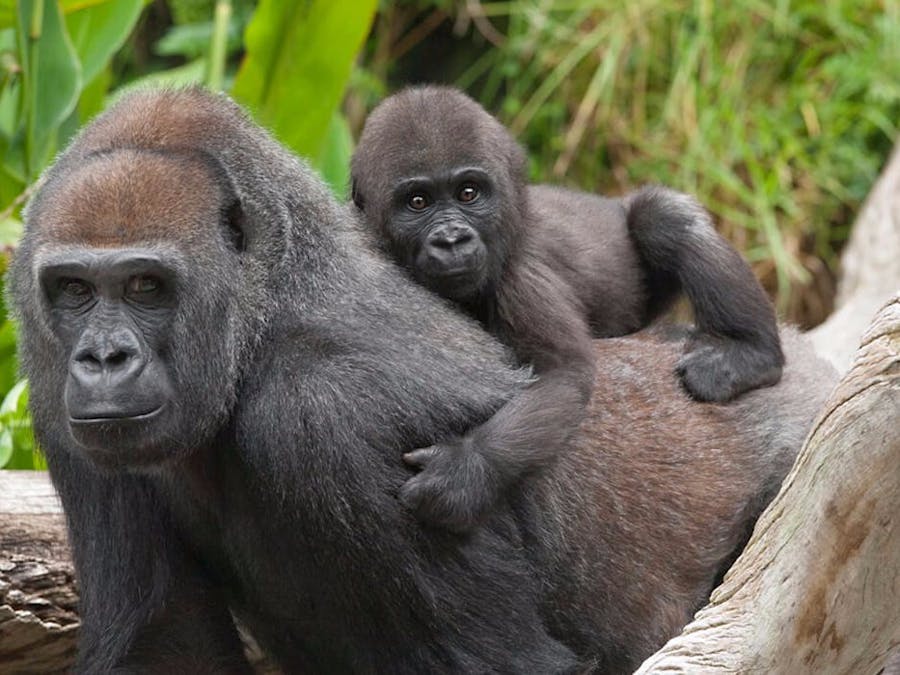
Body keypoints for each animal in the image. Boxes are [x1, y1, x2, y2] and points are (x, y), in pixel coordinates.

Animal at [350, 85, 785, 532]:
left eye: (468, 193)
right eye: (418, 202)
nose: (451, 240)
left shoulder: (520, 281)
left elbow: (563, 374)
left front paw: (465, 471)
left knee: (661, 218)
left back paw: (748, 352)